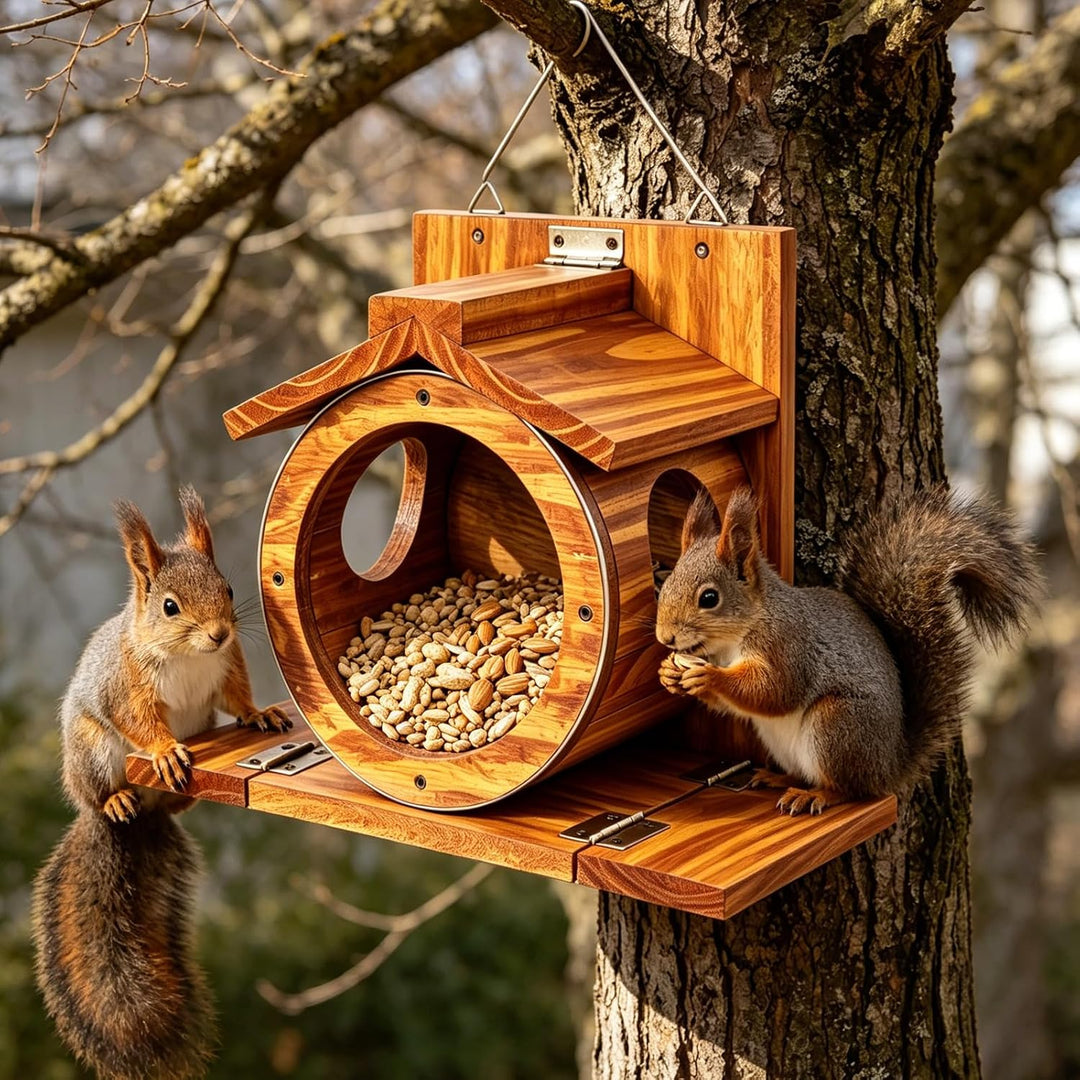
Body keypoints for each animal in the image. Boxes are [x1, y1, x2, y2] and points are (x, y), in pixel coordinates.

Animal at [32, 485, 291, 1080]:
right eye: (170, 606)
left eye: (229, 589)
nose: (220, 632)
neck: (189, 656)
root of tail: (140, 816)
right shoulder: (127, 686)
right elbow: (141, 723)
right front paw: (165, 751)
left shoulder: (228, 669)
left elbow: (239, 698)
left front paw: (261, 714)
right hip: (91, 752)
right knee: (102, 791)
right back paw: (119, 798)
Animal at [656, 485, 1040, 815]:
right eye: (665, 583)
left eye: (709, 598)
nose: (665, 637)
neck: (737, 636)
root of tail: (888, 765)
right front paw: (668, 674)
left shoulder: (789, 646)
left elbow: (775, 692)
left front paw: (709, 678)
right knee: (805, 773)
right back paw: (776, 777)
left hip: (838, 725)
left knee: (849, 790)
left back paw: (814, 796)